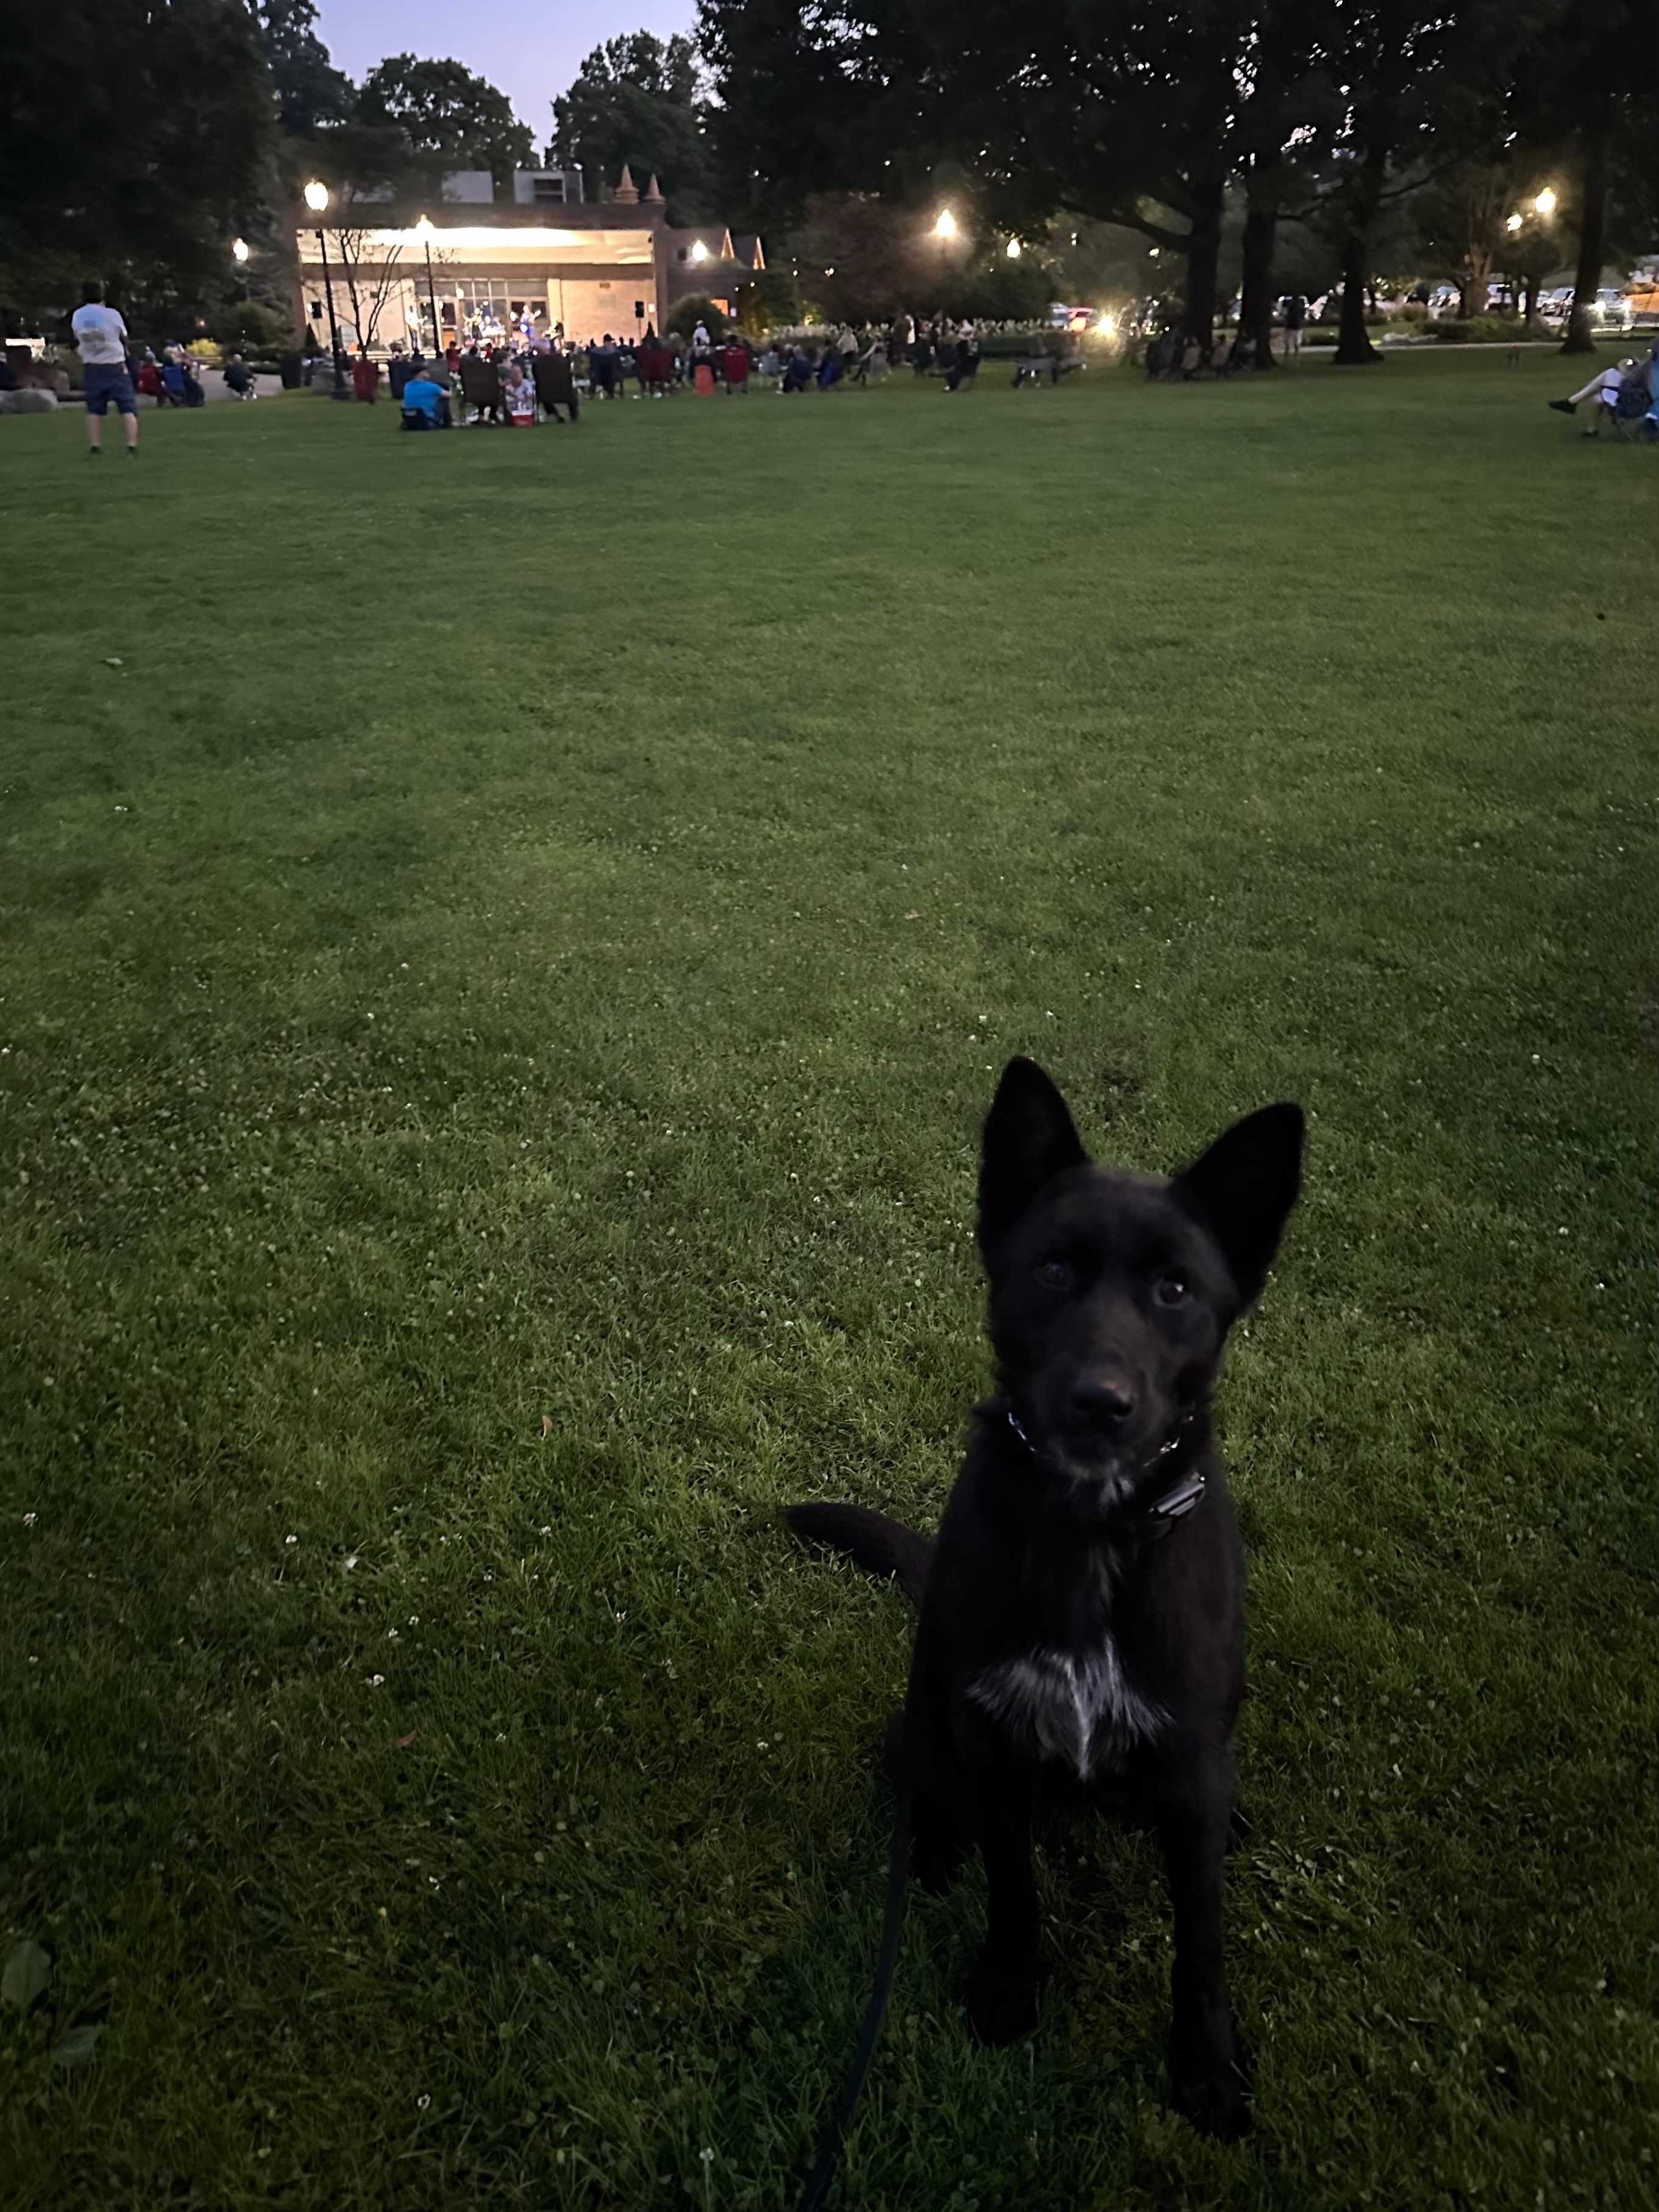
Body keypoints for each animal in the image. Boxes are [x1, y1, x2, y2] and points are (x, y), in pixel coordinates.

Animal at [787, 1062, 1309, 2132]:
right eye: (1054, 1271)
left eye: (1174, 1289)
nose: (1098, 1403)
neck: (1089, 1533)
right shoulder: (994, 1744)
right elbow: (1013, 1883)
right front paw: (1005, 1986)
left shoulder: (1189, 1761)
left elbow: (1200, 1940)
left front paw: (1204, 2062)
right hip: (924, 1725)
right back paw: (929, 1852)